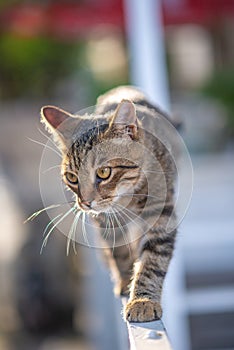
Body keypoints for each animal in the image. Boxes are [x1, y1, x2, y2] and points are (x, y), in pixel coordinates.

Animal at [41, 85, 177, 322]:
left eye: (104, 172)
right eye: (72, 177)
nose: (85, 202)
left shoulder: (161, 215)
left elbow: (152, 261)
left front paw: (142, 300)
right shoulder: (106, 221)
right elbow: (119, 252)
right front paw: (125, 281)